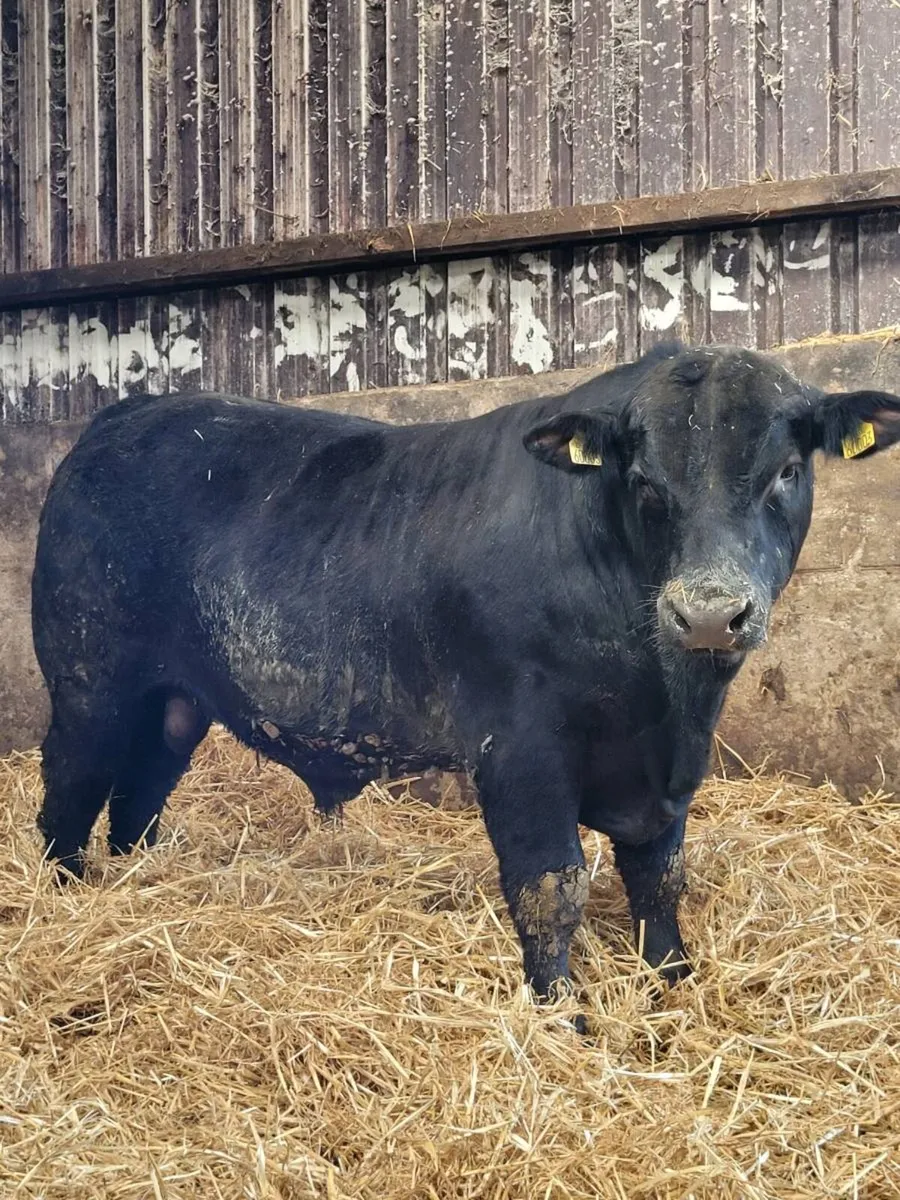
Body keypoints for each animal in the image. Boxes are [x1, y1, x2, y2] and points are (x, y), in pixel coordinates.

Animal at [31, 342, 900, 1028]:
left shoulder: (668, 771)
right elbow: (552, 887)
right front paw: (564, 1019)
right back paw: (68, 899)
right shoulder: (520, 750)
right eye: (646, 483)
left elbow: (659, 877)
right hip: (89, 686)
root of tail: (128, 414)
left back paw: (139, 886)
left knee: (137, 800)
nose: (711, 614)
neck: (661, 696)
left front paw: (673, 982)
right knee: (69, 795)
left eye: (787, 471)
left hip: (174, 703)